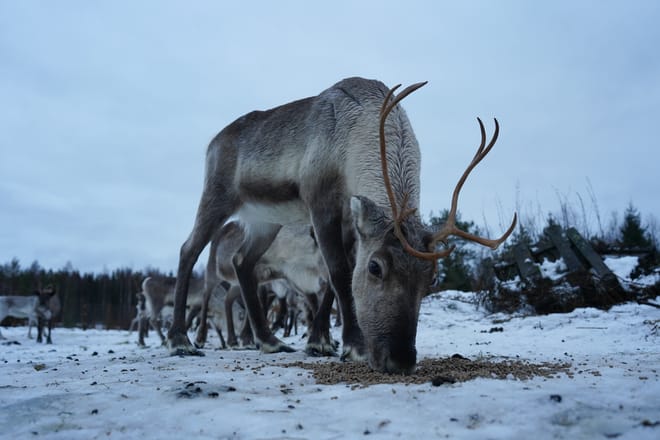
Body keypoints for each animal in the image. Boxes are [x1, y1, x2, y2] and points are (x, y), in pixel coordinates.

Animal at [167, 77, 516, 374]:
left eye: (431, 278)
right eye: (375, 267)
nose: (400, 360)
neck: (357, 135)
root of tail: (214, 141)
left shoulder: (351, 222)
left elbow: (338, 282)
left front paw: (320, 342)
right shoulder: (320, 203)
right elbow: (339, 273)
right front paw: (353, 346)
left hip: (265, 220)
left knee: (242, 260)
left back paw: (269, 341)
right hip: (218, 196)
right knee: (188, 249)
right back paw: (180, 340)